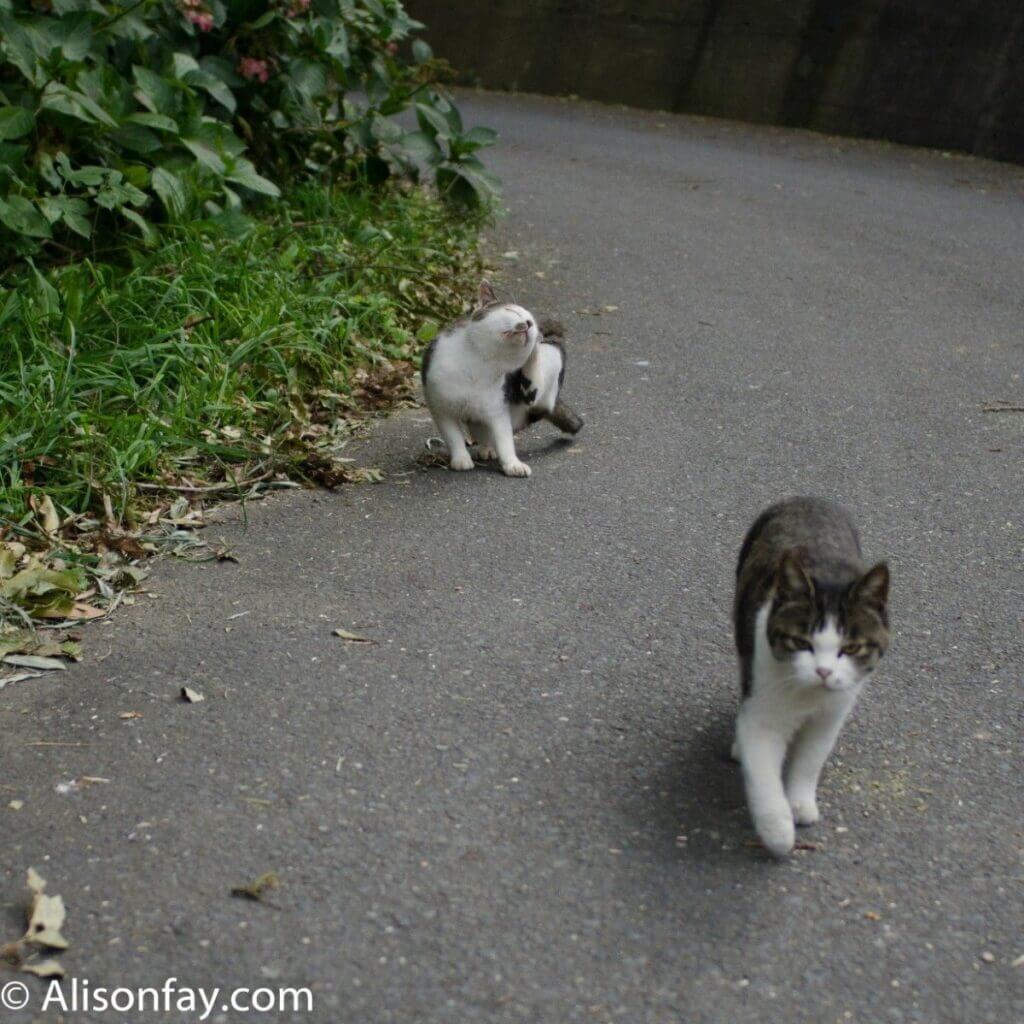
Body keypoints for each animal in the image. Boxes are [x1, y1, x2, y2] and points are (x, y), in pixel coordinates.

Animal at [421, 282, 585, 477]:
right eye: (511, 311)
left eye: (531, 321)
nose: (530, 324)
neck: (481, 360)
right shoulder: (440, 409)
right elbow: (453, 437)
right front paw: (461, 459)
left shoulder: (498, 411)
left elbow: (504, 439)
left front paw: (512, 464)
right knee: (480, 429)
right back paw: (486, 448)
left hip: (545, 379)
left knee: (536, 392)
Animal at [733, 495, 892, 856]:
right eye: (801, 642)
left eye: (851, 647)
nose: (823, 671)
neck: (808, 695)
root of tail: (805, 497)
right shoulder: (762, 709)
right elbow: (763, 770)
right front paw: (778, 830)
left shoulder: (832, 713)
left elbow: (811, 757)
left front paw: (800, 803)